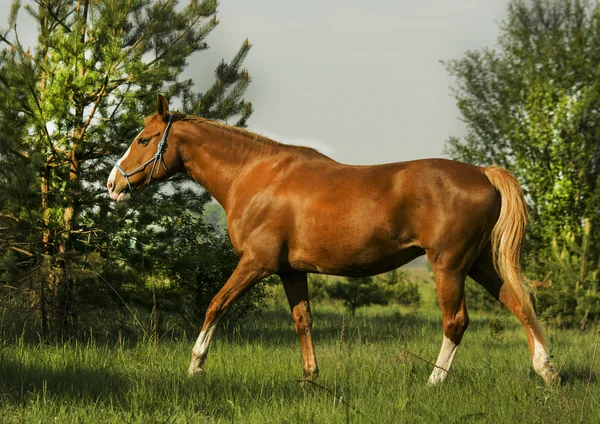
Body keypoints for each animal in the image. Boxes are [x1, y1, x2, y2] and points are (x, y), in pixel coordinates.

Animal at [106, 95, 556, 384]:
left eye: (144, 140)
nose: (113, 184)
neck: (255, 175)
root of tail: (482, 173)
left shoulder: (256, 263)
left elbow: (216, 304)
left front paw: (196, 366)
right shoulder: (290, 271)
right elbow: (302, 319)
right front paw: (310, 376)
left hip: (449, 265)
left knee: (456, 322)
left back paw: (434, 382)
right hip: (479, 264)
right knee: (519, 304)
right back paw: (547, 370)